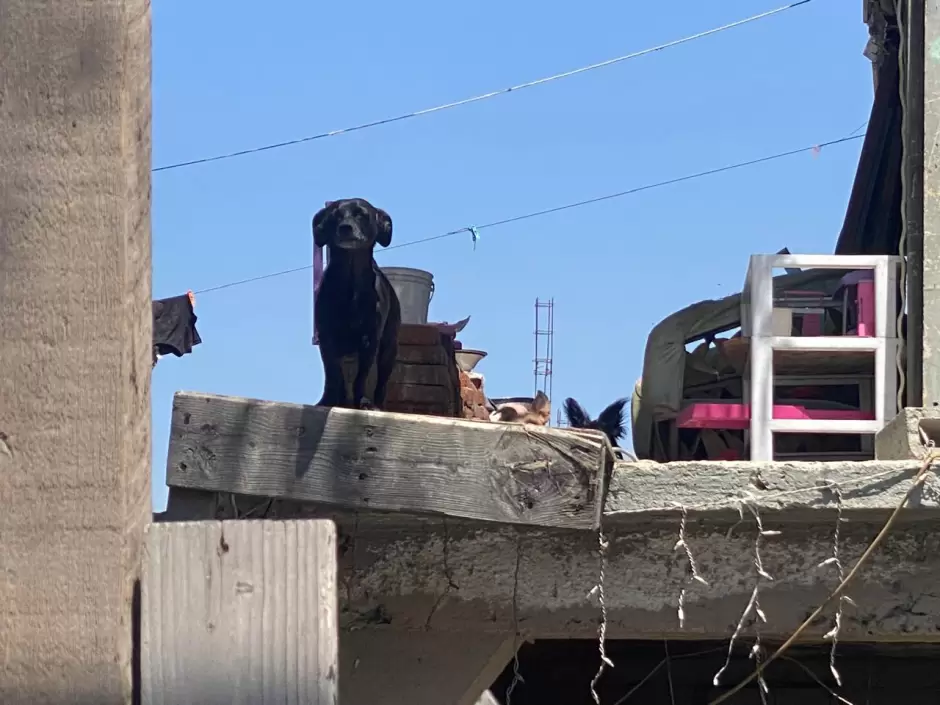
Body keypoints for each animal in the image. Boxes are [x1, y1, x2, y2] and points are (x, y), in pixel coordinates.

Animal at [312, 195, 400, 410]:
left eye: (361, 215)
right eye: (334, 216)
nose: (345, 227)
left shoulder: (370, 339)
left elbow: (362, 376)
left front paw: (362, 402)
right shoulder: (326, 336)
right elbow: (333, 373)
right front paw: (329, 401)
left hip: (388, 350)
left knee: (381, 383)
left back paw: (377, 404)